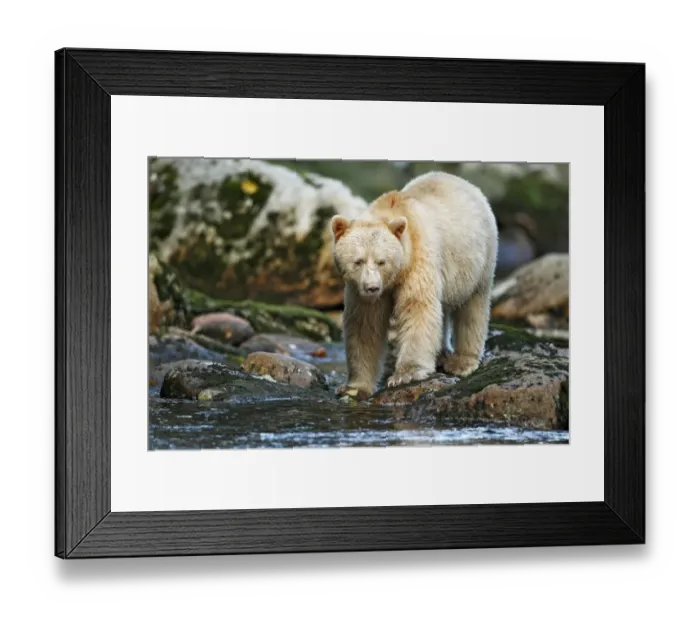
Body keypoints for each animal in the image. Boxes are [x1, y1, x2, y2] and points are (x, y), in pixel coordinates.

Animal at [330, 171, 498, 400]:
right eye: (358, 261)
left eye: (382, 261)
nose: (372, 287)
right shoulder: (360, 290)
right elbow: (365, 323)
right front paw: (355, 387)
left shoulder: (418, 259)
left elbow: (417, 307)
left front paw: (406, 374)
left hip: (478, 259)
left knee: (473, 307)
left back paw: (462, 362)